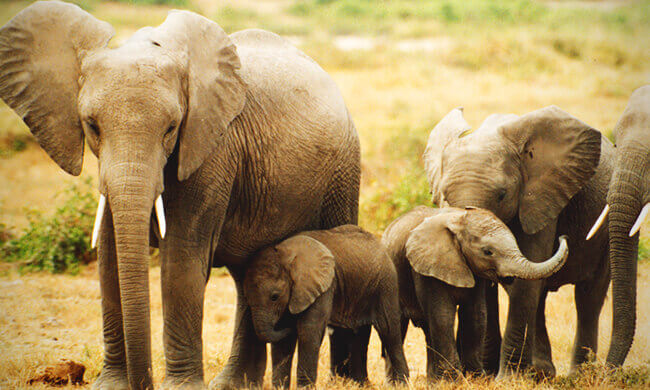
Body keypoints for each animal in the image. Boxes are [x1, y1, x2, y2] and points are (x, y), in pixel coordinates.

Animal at [0, 1, 360, 388]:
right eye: (92, 126)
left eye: (171, 129)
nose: (144, 382)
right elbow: (110, 259)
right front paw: (112, 384)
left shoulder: (213, 149)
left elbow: (181, 262)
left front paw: (181, 385)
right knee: (248, 276)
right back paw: (233, 384)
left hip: (343, 171)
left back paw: (343, 379)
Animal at [240, 225, 408, 386]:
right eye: (246, 298)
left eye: (274, 297)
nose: (289, 327)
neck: (285, 255)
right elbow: (283, 342)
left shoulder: (325, 285)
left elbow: (309, 330)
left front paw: (305, 387)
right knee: (359, 335)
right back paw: (361, 384)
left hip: (386, 283)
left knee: (389, 331)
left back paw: (402, 383)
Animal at [380, 206, 568, 380]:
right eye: (488, 252)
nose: (563, 237)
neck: (458, 220)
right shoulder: (426, 267)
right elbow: (442, 315)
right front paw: (453, 381)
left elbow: (476, 315)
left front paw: (476, 378)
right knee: (397, 327)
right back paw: (398, 383)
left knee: (427, 329)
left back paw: (433, 382)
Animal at [422, 106, 612, 378]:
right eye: (444, 196)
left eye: (502, 195)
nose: (563, 239)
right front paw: (487, 375)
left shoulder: (540, 198)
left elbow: (525, 281)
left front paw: (506, 379)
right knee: (541, 296)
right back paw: (541, 374)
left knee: (588, 298)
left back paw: (578, 375)